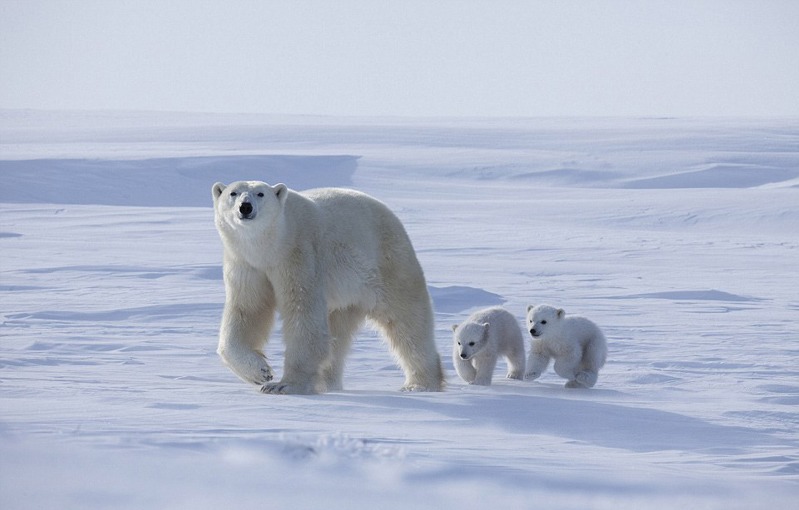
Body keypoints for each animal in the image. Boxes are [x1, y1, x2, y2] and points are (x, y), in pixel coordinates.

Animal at [212, 181, 446, 396]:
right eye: (233, 193)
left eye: (260, 193)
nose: (245, 207)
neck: (271, 247)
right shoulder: (246, 264)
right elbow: (247, 310)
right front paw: (259, 372)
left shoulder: (299, 255)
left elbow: (303, 315)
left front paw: (283, 385)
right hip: (346, 298)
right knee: (337, 335)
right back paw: (327, 384)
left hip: (387, 264)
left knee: (407, 321)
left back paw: (420, 384)